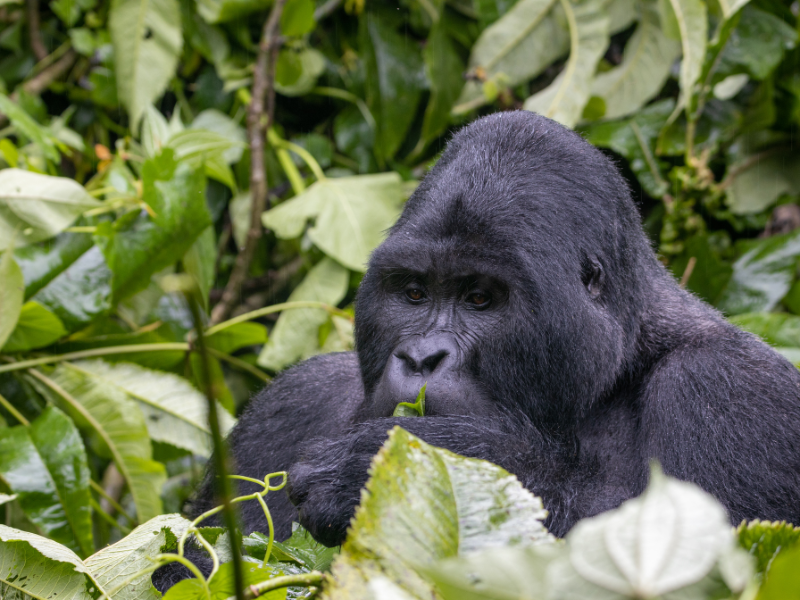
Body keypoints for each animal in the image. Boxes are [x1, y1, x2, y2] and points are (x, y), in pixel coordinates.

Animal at [153, 112, 800, 592]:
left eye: (480, 298)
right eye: (414, 293)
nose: (421, 358)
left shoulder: (732, 390)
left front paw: (413, 470)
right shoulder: (288, 404)